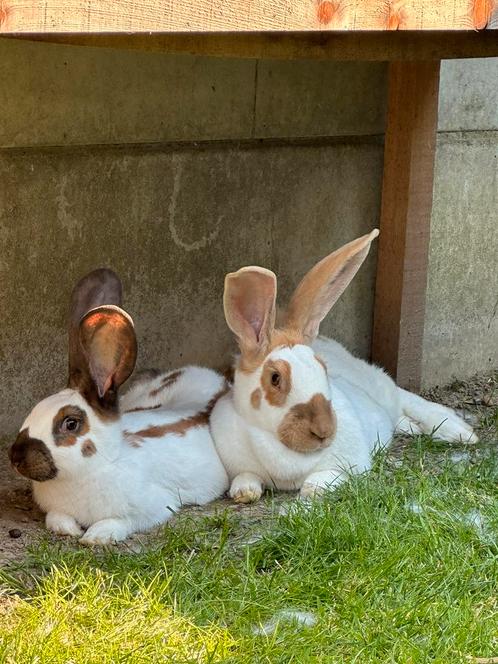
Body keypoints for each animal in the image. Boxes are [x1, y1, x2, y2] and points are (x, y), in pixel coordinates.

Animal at [9, 270, 229, 544]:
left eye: (71, 423)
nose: (15, 458)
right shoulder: (56, 508)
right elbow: (56, 517)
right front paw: (68, 529)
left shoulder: (152, 507)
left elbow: (121, 521)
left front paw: (95, 536)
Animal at [208, 230, 476, 504]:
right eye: (275, 378)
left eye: (322, 368)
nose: (324, 431)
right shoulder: (238, 464)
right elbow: (245, 477)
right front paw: (244, 492)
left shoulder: (351, 463)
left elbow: (326, 476)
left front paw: (313, 489)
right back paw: (410, 426)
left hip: (378, 384)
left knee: (405, 397)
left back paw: (460, 431)